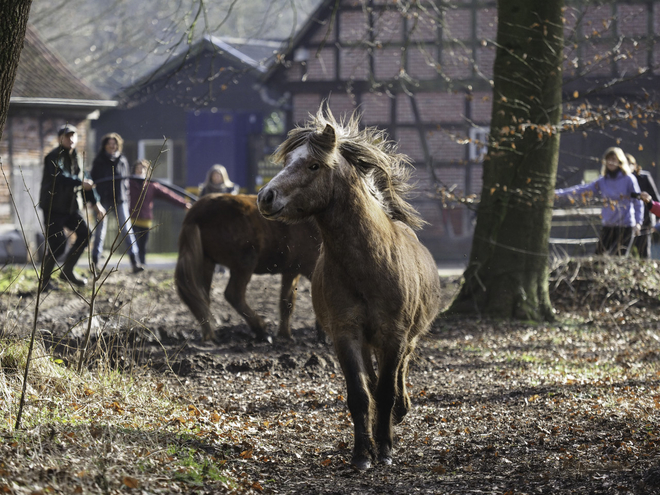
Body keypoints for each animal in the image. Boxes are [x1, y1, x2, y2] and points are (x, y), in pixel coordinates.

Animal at [174, 196, 320, 342]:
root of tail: (195, 214)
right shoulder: (311, 266)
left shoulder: (291, 271)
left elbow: (287, 302)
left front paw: (285, 335)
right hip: (245, 262)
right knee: (233, 294)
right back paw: (260, 329)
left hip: (207, 262)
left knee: (202, 298)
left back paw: (209, 335)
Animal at [258, 107, 444, 468]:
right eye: (288, 161)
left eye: (313, 165)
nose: (265, 197)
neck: (369, 265)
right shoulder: (345, 333)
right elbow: (360, 393)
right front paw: (362, 453)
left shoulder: (394, 335)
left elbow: (385, 390)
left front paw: (384, 449)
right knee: (372, 380)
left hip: (407, 337)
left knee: (400, 370)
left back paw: (400, 410)